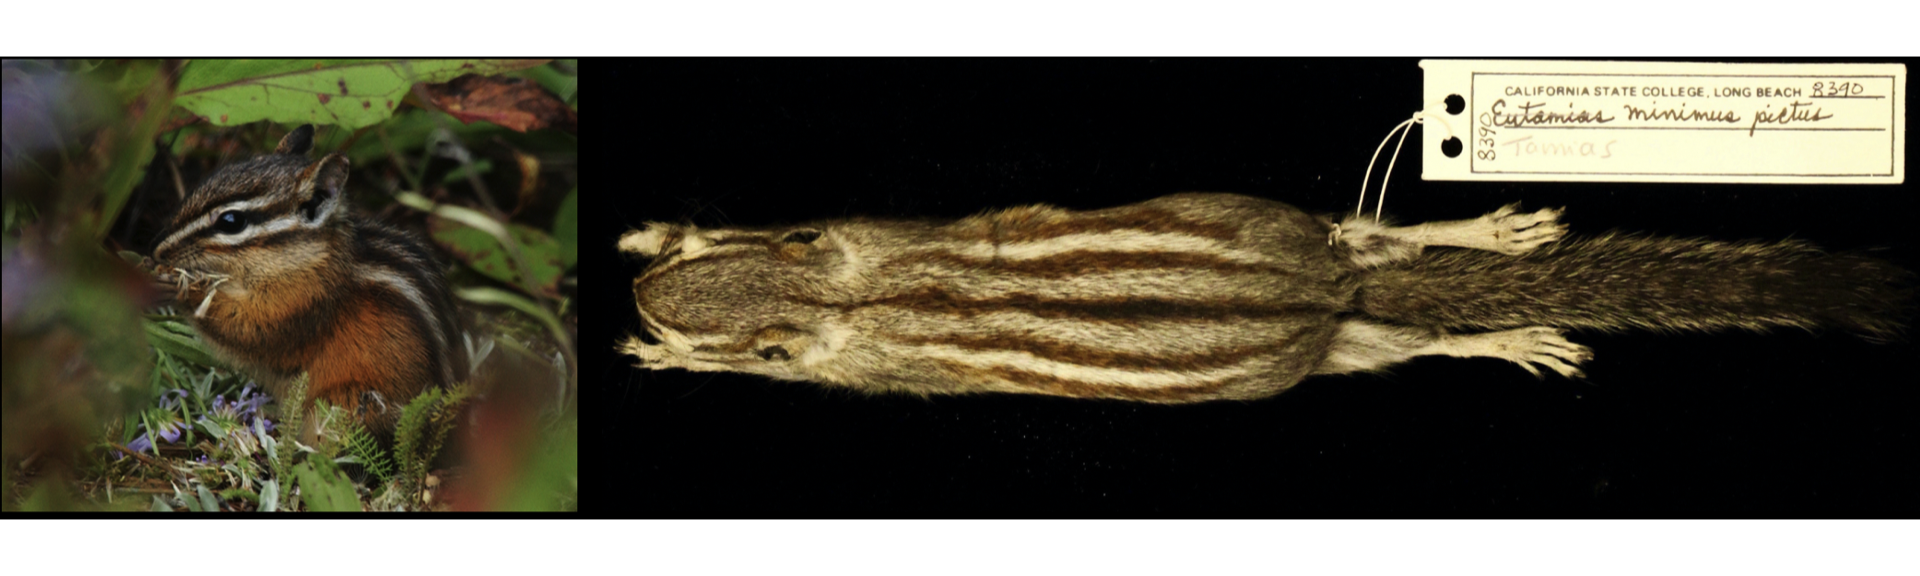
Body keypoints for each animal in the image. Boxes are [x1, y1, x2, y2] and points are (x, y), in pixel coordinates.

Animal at [149, 125, 469, 441]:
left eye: (231, 221)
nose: (157, 250)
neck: (304, 260)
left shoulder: (301, 305)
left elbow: (246, 328)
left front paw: (181, 288)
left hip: (344, 407)